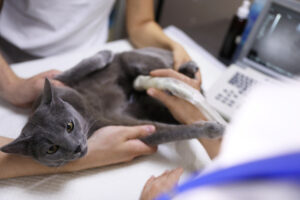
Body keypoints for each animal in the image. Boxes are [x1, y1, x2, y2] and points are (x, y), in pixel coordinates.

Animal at [0, 47, 225, 167]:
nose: (76, 147)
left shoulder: (55, 84)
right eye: (52, 149)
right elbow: (170, 131)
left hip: (137, 59)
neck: (88, 114)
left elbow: (71, 70)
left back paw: (186, 70)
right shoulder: (124, 125)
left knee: (165, 68)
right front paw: (213, 129)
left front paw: (104, 53)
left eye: (69, 126)